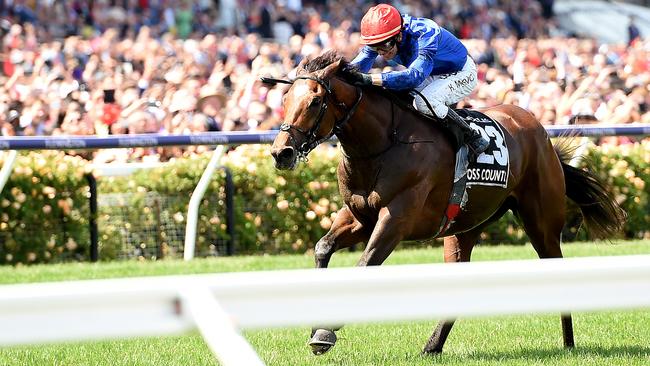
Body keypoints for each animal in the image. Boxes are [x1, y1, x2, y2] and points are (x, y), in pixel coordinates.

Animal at [268, 50, 624, 356]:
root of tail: (540, 133)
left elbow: (365, 263)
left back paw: (569, 343)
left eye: (315, 101)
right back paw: (433, 345)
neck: (382, 144)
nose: (281, 152)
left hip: (542, 223)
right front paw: (316, 325)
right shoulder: (359, 217)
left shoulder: (396, 219)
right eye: (284, 99)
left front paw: (326, 330)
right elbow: (323, 248)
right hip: (464, 227)